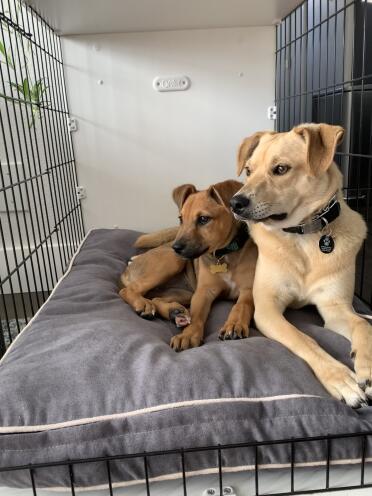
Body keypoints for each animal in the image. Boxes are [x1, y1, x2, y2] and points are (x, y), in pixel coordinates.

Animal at [120, 180, 258, 350]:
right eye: (181, 219)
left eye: (203, 219)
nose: (176, 248)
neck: (224, 255)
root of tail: (126, 272)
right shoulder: (203, 292)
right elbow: (196, 315)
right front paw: (188, 335)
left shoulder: (248, 290)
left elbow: (240, 307)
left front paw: (234, 324)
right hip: (174, 263)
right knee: (128, 290)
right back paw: (144, 305)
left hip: (183, 292)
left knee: (156, 299)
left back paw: (175, 312)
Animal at [231, 123, 370, 406]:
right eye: (248, 170)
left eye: (281, 169)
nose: (235, 203)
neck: (304, 236)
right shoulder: (267, 309)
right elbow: (304, 339)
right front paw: (340, 378)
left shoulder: (335, 307)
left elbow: (364, 324)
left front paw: (367, 367)